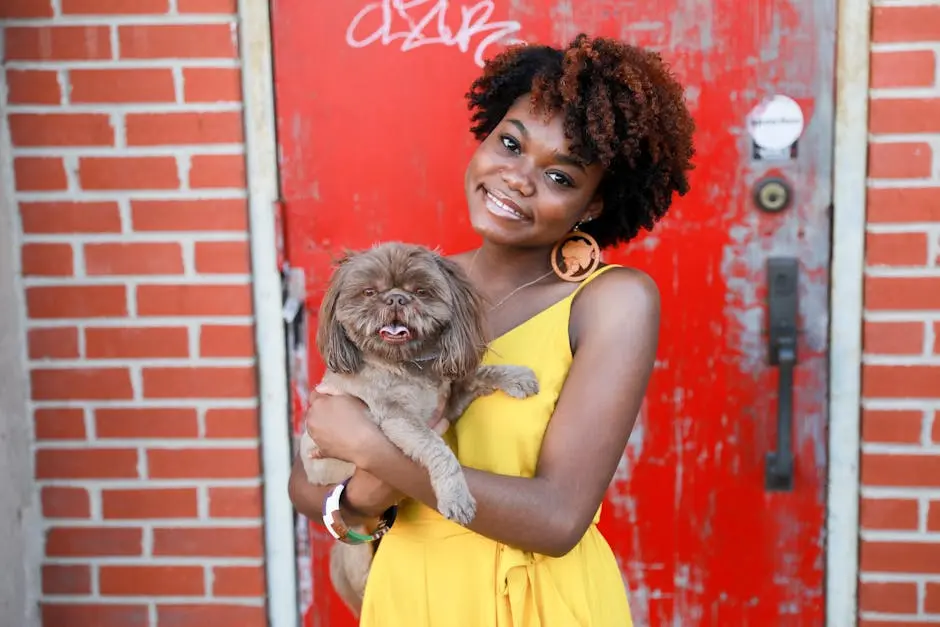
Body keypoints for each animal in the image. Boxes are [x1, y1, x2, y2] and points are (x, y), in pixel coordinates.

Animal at [298, 242, 540, 620]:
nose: (396, 299)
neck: (403, 365)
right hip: (357, 557)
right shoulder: (397, 420)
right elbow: (438, 450)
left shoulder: (450, 399)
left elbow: (477, 374)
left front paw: (516, 377)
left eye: (421, 291)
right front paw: (456, 496)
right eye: (369, 292)